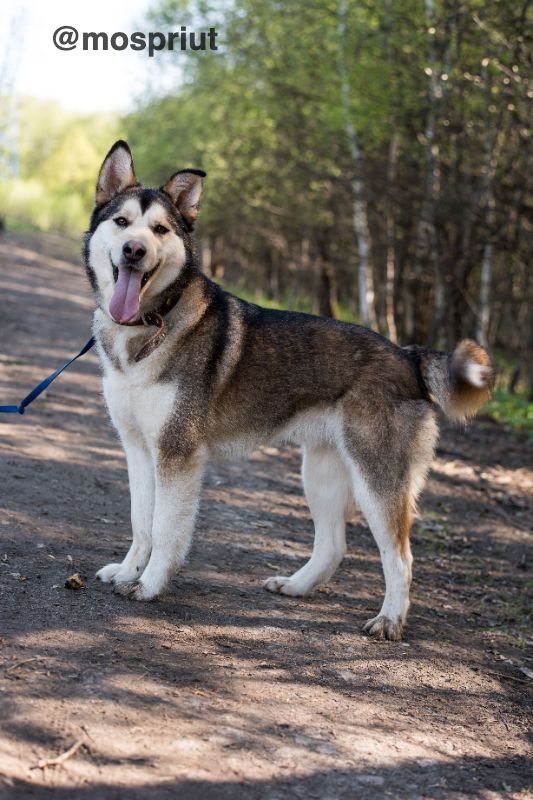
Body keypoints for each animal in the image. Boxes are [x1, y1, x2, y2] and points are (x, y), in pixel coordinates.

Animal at [83, 142, 494, 644]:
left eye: (160, 229)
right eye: (122, 222)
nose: (134, 250)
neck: (150, 322)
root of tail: (407, 355)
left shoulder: (177, 455)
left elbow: (164, 530)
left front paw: (149, 586)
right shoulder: (140, 450)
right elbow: (141, 523)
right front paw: (128, 572)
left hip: (377, 478)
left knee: (400, 557)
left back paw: (389, 620)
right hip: (320, 471)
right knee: (333, 546)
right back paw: (297, 586)